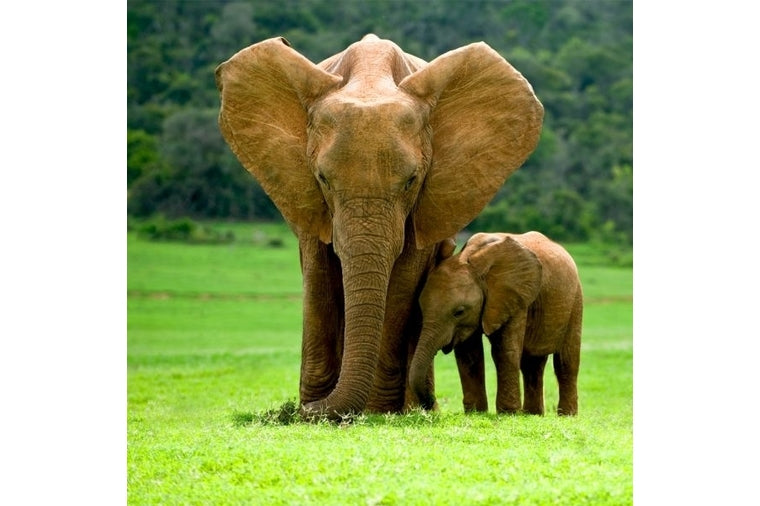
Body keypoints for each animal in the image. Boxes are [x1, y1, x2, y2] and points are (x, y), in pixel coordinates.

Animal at [215, 35, 543, 420]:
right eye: (322, 179)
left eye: (411, 181)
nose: (299, 410)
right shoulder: (306, 194)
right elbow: (319, 277)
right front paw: (313, 407)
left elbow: (402, 283)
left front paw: (377, 410)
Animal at [409, 232, 583, 416]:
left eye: (459, 312)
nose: (429, 404)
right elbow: (469, 353)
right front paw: (476, 412)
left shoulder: (515, 298)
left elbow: (504, 351)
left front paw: (508, 413)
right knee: (533, 364)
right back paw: (533, 414)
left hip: (576, 298)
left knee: (566, 360)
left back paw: (567, 416)